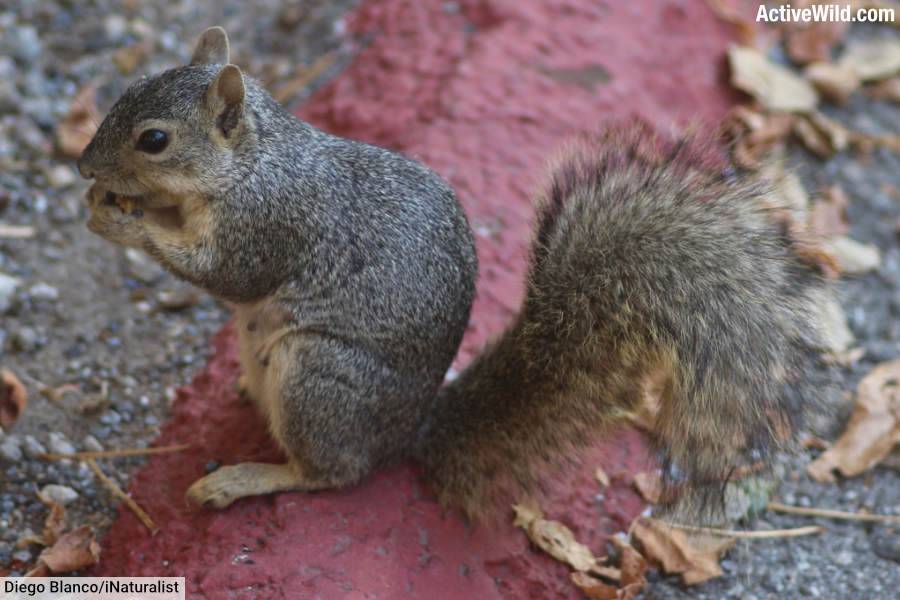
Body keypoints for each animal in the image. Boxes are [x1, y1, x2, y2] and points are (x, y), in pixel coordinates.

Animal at [77, 28, 836, 524]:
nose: (83, 165)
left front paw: (120, 220)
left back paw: (246, 477)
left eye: (154, 139)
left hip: (320, 375)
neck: (253, 161)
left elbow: (227, 274)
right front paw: (112, 202)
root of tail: (407, 432)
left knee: (331, 474)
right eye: (125, 92)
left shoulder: (269, 222)